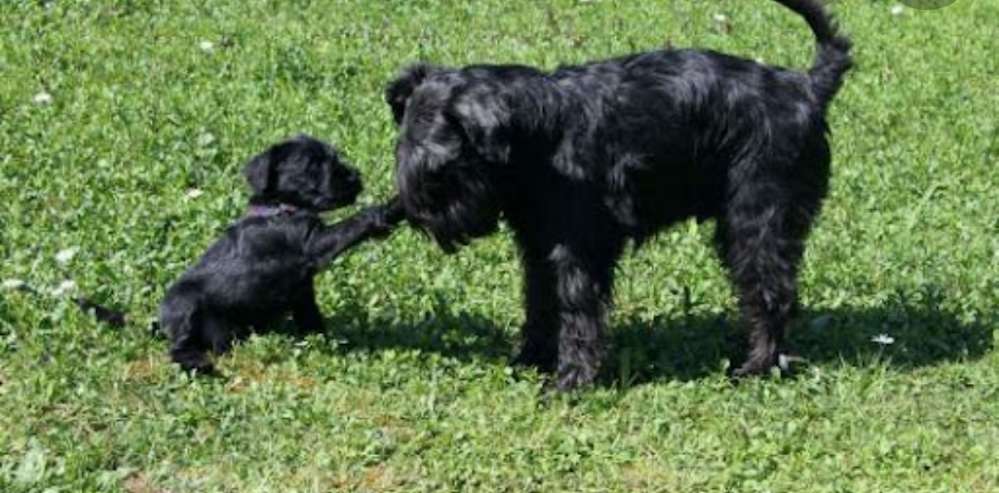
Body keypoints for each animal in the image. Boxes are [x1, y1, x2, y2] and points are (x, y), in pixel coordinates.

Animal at [160, 135, 402, 372]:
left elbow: (311, 318)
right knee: (179, 346)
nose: (355, 177)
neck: (280, 209)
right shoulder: (314, 243)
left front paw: (320, 342)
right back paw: (196, 362)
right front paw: (388, 208)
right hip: (184, 303)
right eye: (313, 165)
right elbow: (351, 224)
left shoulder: (302, 290)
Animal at [386, 0, 856, 392]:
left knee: (771, 293)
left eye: (439, 170)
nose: (417, 215)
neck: (537, 134)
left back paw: (757, 366)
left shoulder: (577, 252)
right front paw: (530, 359)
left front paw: (570, 379)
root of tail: (805, 87)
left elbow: (576, 312)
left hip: (757, 221)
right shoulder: (539, 250)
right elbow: (539, 304)